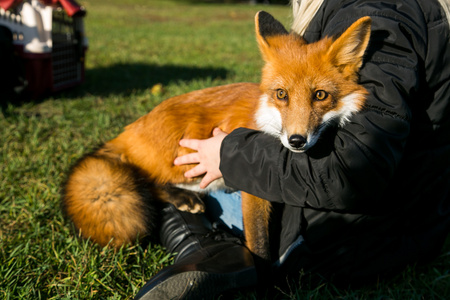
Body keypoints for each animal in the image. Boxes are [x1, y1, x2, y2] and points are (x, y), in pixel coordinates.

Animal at [61, 10, 370, 262]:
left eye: (320, 96)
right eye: (281, 94)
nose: (296, 141)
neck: (266, 118)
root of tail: (129, 130)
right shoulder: (253, 192)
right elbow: (259, 244)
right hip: (186, 163)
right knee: (144, 182)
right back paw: (179, 198)